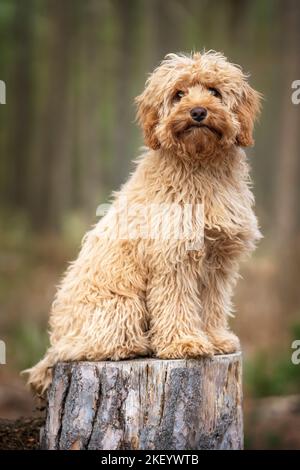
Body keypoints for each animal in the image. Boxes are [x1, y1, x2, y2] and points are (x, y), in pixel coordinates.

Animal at [25, 51, 262, 392]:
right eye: (178, 94)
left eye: (215, 92)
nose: (198, 112)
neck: (200, 167)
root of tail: (56, 344)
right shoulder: (173, 257)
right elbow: (177, 303)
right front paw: (184, 343)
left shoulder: (219, 260)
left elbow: (213, 305)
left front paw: (215, 339)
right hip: (122, 303)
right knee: (92, 346)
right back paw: (134, 346)